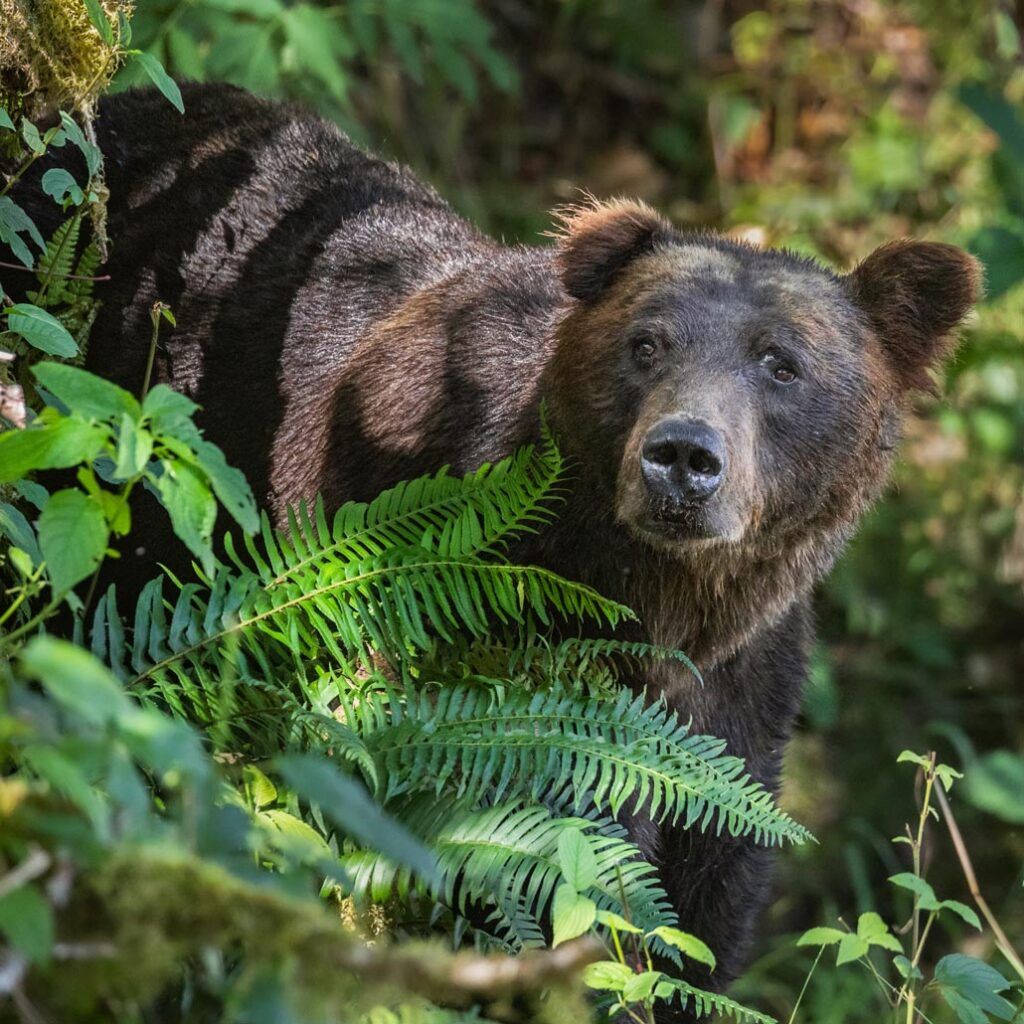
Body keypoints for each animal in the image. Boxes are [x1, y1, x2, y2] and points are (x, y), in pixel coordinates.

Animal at [14, 83, 974, 1011]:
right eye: (647, 342)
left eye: (782, 364)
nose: (683, 457)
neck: (660, 602)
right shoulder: (478, 637)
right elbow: (541, 862)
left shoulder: (743, 696)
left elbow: (709, 896)